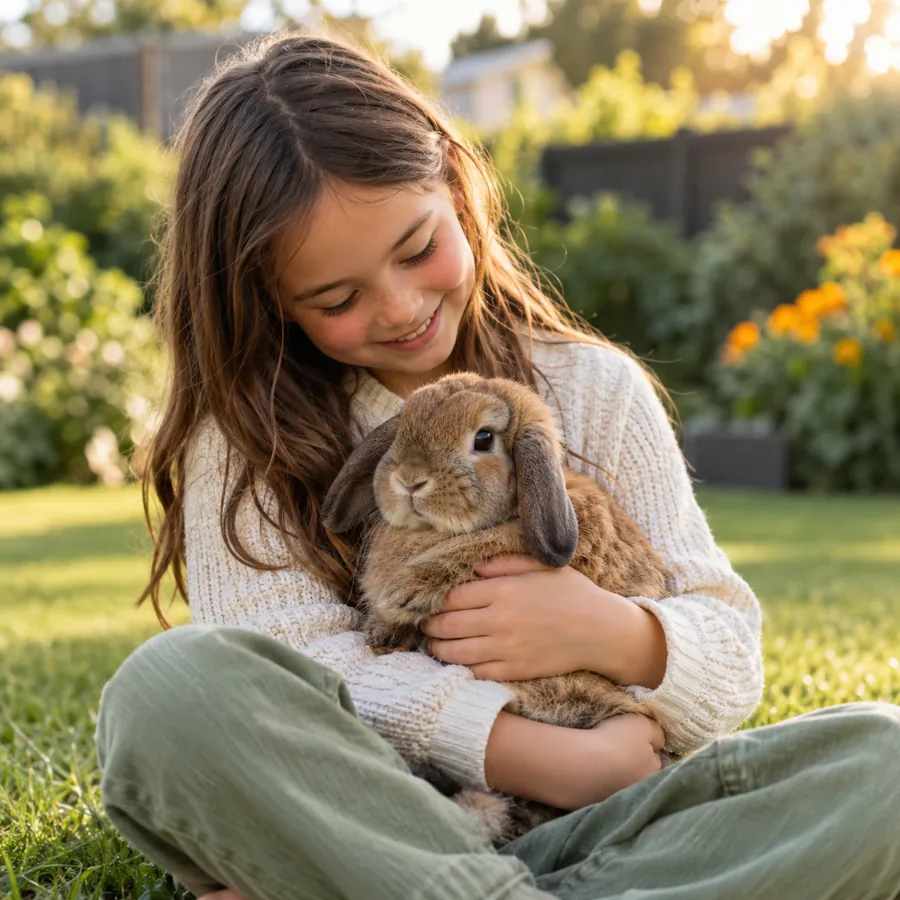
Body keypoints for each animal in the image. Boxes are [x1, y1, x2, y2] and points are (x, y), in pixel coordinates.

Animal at [322, 371, 672, 844]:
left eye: (484, 438)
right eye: (402, 430)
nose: (410, 480)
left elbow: (474, 549)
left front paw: (405, 596)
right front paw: (385, 631)